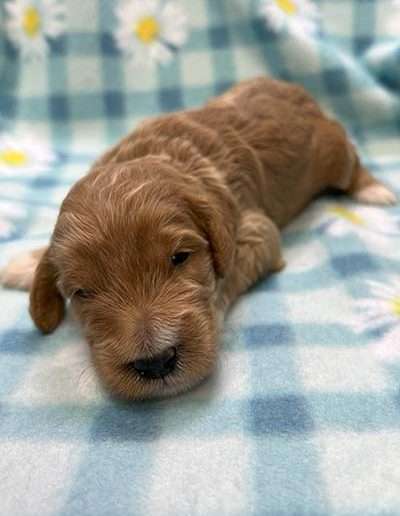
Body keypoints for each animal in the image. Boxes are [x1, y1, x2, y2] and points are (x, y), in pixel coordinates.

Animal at [0, 77, 396, 400]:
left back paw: (375, 191)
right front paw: (24, 264)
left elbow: (228, 273)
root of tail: (296, 90)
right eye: (82, 293)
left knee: (352, 160)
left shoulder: (255, 228)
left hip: (334, 150)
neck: (160, 157)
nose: (156, 363)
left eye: (180, 258)